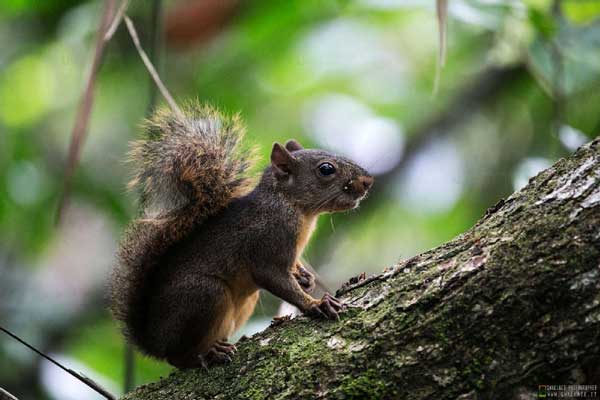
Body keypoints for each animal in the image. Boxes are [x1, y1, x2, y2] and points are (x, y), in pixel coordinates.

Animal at [107, 103, 370, 368]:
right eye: (326, 169)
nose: (368, 181)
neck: (295, 208)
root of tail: (153, 342)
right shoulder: (268, 239)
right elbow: (274, 277)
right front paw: (316, 303)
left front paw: (305, 277)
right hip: (205, 294)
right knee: (178, 358)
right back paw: (208, 354)